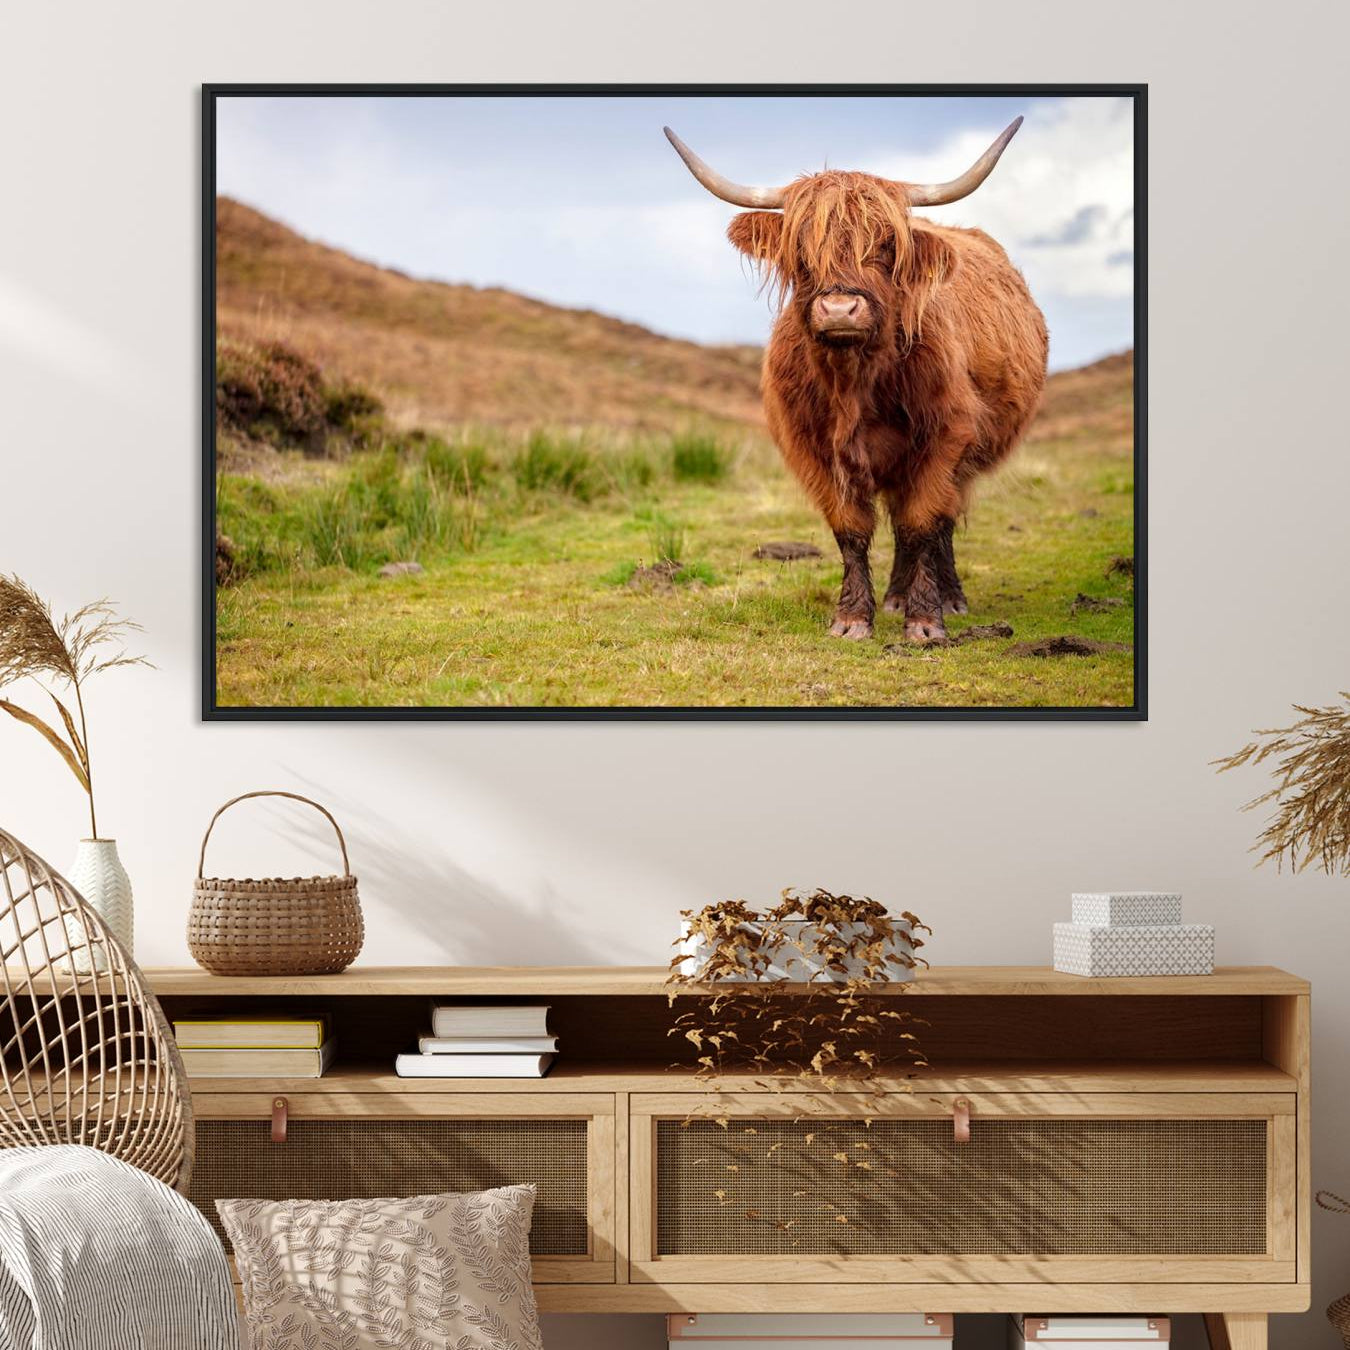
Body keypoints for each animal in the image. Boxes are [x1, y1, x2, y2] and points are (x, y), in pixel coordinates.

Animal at [665, 118, 1048, 644]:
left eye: (886, 245)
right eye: (801, 249)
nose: (840, 309)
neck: (855, 382)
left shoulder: (945, 437)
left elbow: (922, 522)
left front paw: (925, 622)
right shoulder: (815, 449)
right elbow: (851, 529)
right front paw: (851, 618)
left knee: (939, 522)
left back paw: (947, 596)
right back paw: (894, 596)